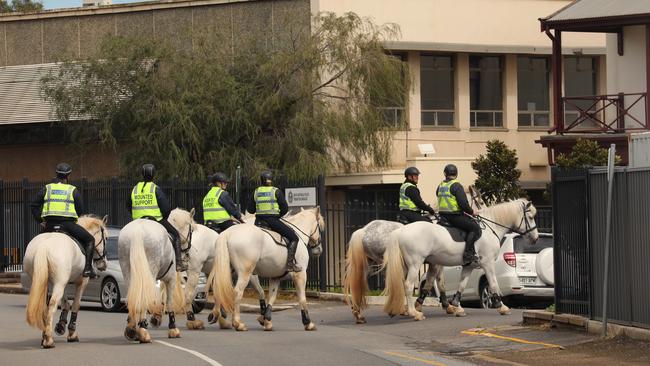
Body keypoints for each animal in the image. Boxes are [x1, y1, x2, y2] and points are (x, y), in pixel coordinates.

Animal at [24, 216, 109, 348]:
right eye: (106, 238)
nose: (104, 264)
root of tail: (44, 246)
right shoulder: (81, 282)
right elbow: (75, 305)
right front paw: (72, 333)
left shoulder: (60, 282)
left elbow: (65, 304)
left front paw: (61, 325)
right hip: (59, 283)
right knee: (52, 305)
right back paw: (48, 340)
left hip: (45, 282)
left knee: (45, 307)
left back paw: (45, 335)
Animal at [117, 209, 192, 344]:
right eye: (191, 230)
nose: (187, 258)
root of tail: (137, 230)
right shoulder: (170, 278)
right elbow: (168, 301)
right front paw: (173, 328)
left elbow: (157, 296)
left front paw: (156, 317)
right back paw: (142, 331)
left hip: (127, 269)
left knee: (133, 297)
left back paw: (132, 329)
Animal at [380, 200, 536, 320]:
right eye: (530, 217)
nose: (535, 238)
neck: (491, 228)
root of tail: (400, 230)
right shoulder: (488, 263)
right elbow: (493, 284)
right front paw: (501, 307)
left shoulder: (468, 266)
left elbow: (461, 284)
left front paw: (456, 306)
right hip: (415, 264)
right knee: (408, 285)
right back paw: (414, 313)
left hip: (406, 265)